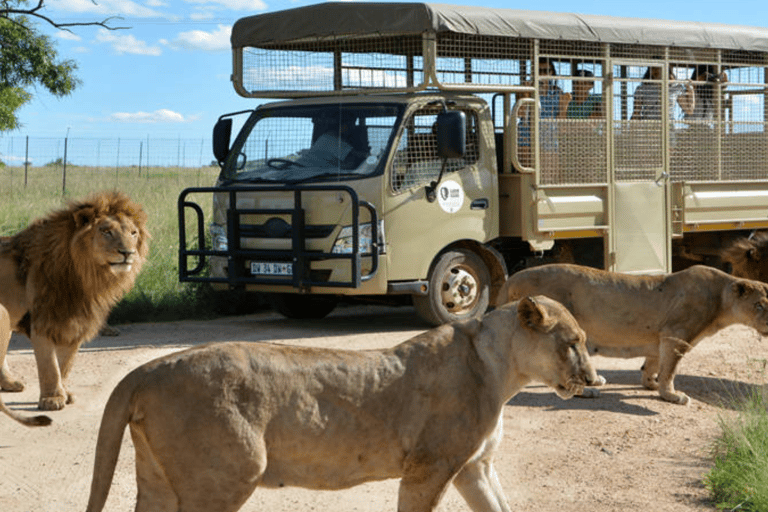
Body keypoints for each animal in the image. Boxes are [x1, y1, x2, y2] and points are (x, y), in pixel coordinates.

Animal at [0, 192, 148, 420]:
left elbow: (65, 364)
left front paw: (64, 393)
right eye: (106, 231)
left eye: (133, 233)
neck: (85, 276)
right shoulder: (42, 320)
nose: (127, 253)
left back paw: (9, 383)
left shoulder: (76, 320)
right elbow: (50, 365)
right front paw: (52, 399)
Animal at [85, 296, 600, 512]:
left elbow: (500, 508)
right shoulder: (429, 468)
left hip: (158, 480)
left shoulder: (474, 467)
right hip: (228, 474)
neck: (500, 369)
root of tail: (147, 368)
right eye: (572, 343)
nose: (594, 379)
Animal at [496, 264, 768, 404]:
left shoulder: (660, 337)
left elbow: (653, 364)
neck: (722, 298)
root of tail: (511, 279)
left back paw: (597, 380)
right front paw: (672, 395)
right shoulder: (676, 335)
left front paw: (650, 384)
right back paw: (589, 391)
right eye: (759, 305)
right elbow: (670, 370)